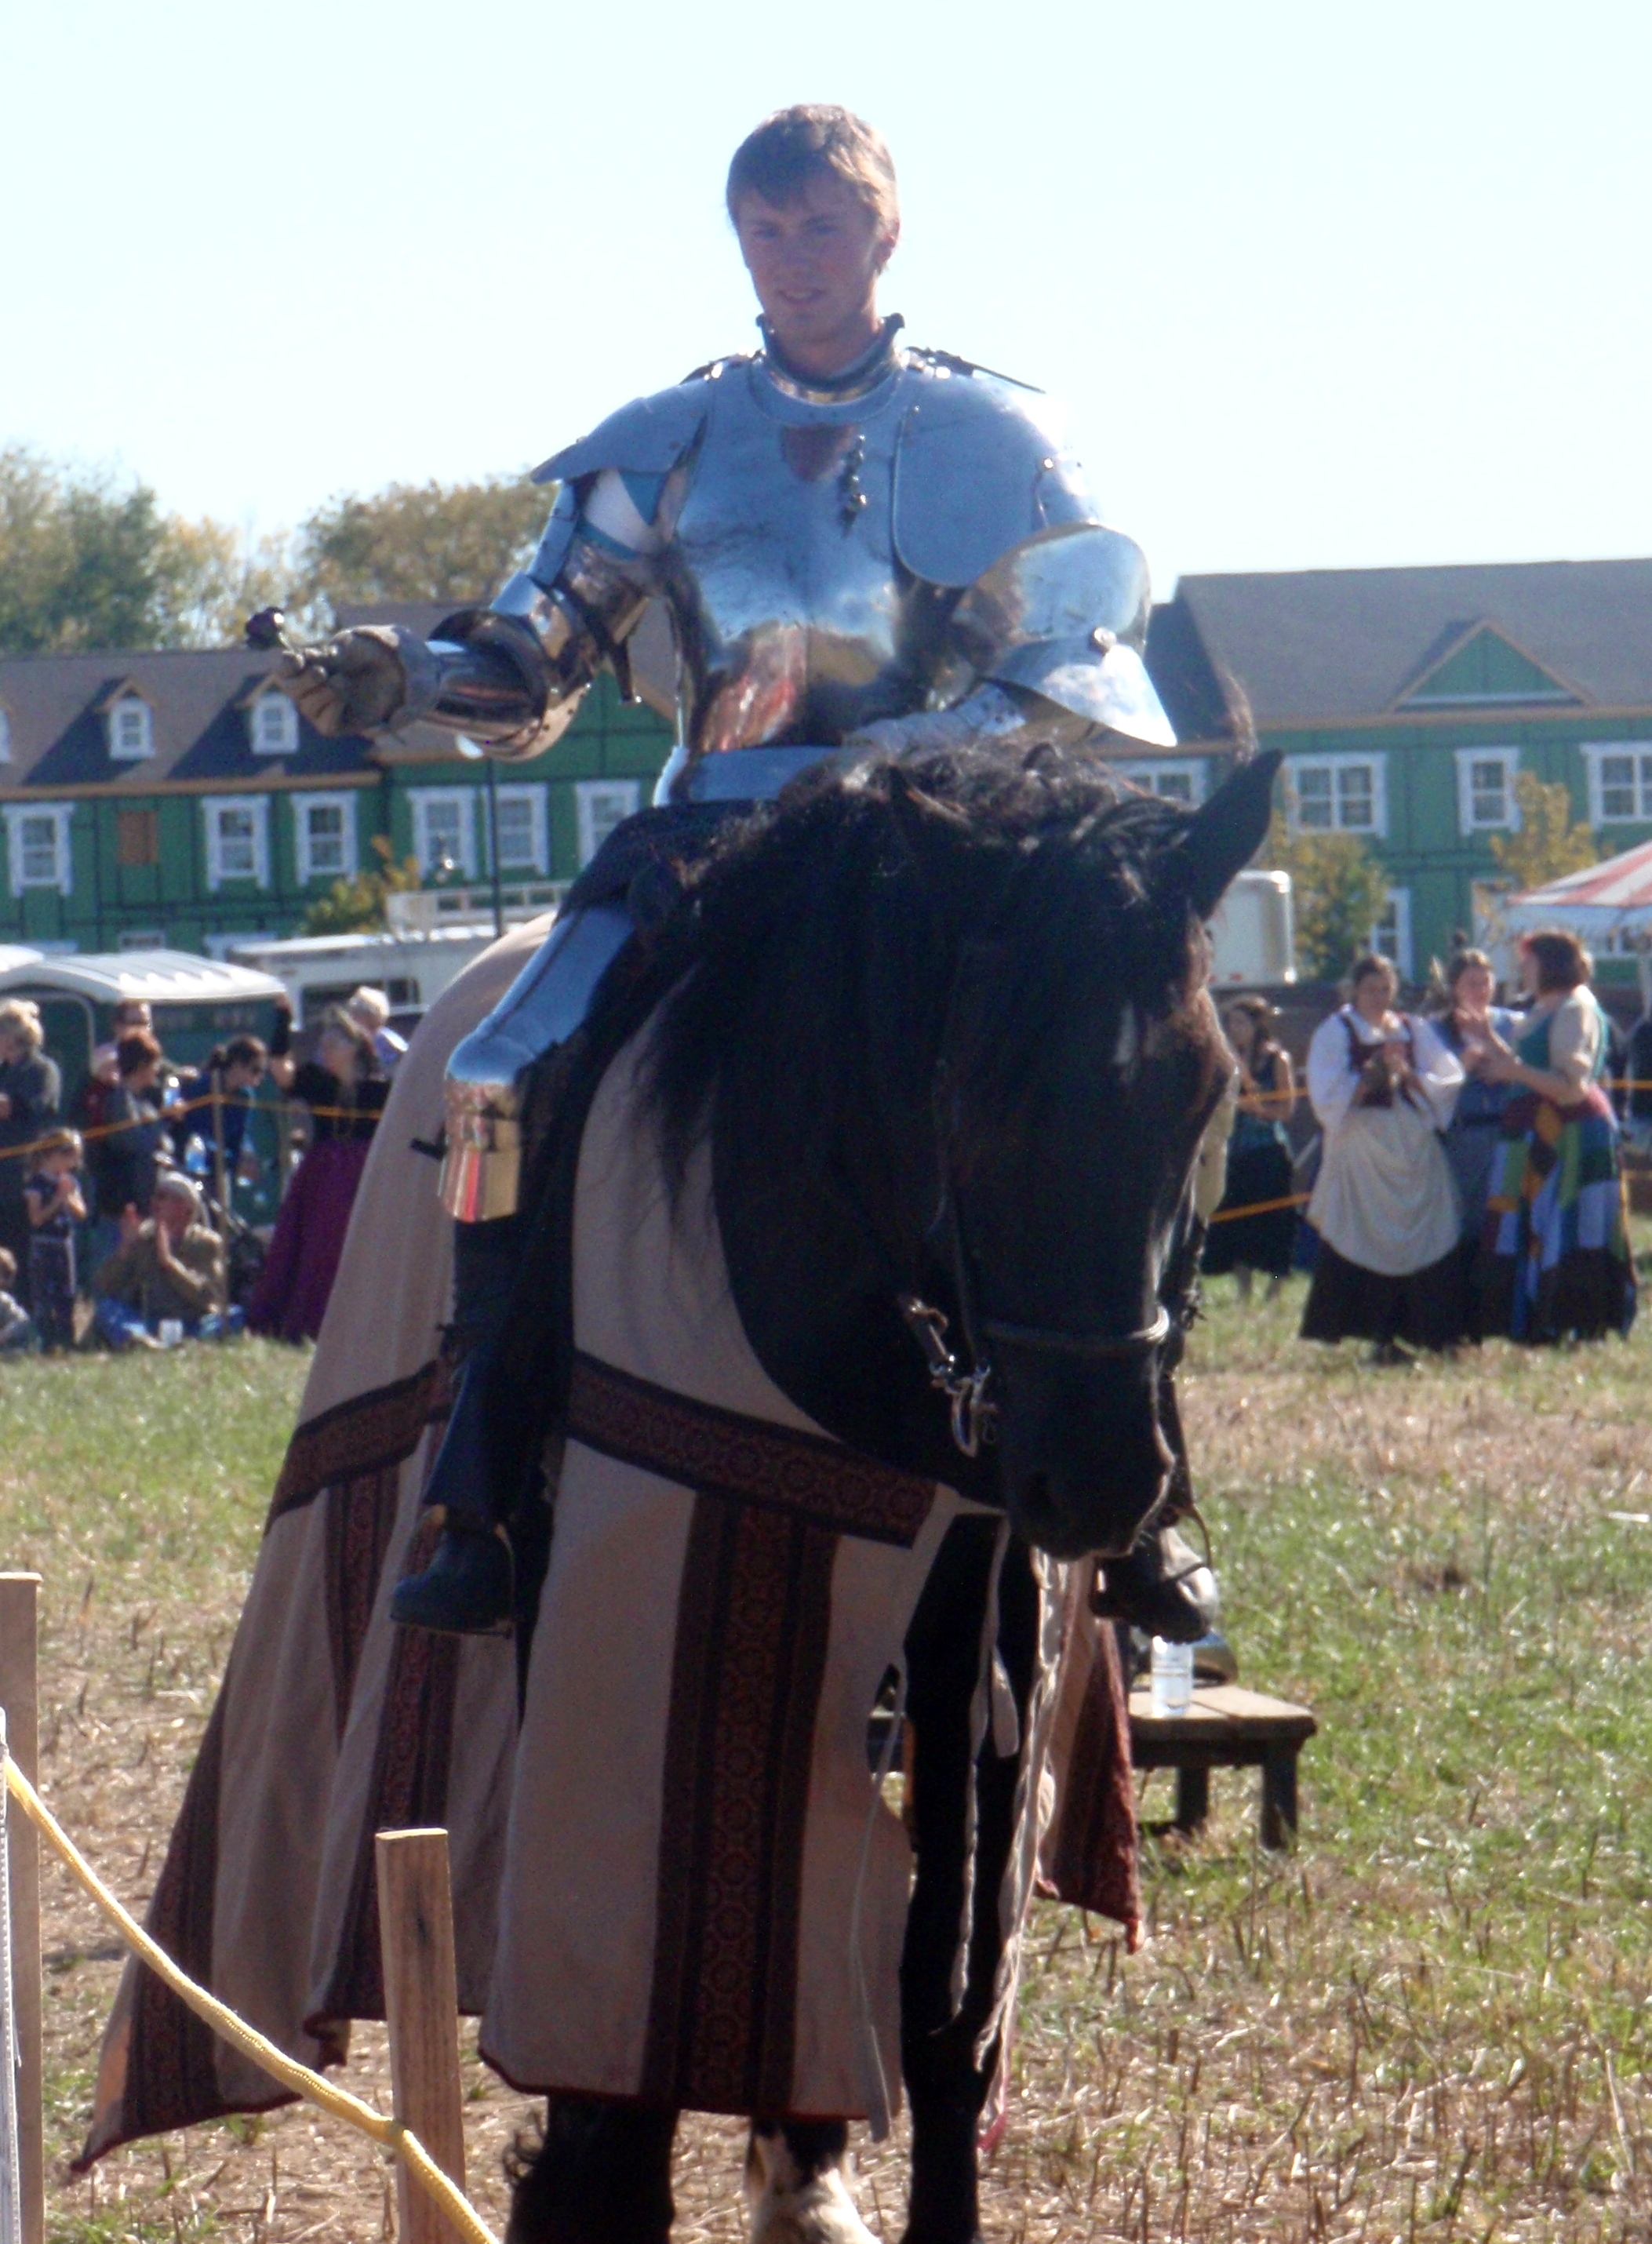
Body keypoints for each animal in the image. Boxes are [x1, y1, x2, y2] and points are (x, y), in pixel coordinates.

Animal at [496, 740, 1275, 2244]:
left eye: (1208, 1092)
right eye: (978, 1097)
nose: (1101, 1477)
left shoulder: (988, 1607)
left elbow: (943, 1992)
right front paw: (588, 2172)